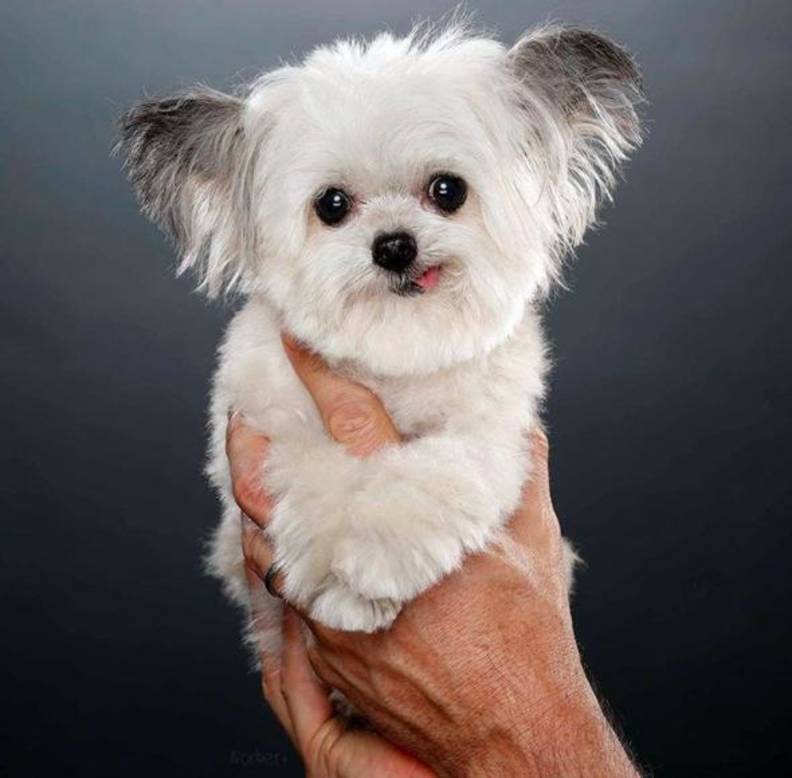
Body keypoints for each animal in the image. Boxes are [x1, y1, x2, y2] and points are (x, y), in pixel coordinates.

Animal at [120, 22, 648, 644]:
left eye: (447, 191)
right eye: (331, 204)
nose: (395, 245)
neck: (393, 355)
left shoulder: (491, 438)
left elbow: (432, 477)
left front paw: (373, 563)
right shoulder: (268, 426)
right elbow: (316, 472)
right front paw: (331, 573)